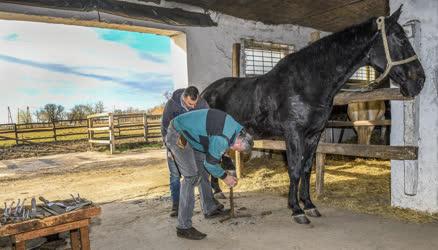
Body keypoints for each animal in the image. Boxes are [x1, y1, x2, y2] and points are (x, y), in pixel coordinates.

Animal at [202, 6, 424, 225]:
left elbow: (307, 168)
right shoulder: (293, 133)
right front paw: (296, 210)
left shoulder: (313, 135)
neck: (306, 84)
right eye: (401, 38)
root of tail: (205, 92)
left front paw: (308, 205)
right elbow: (294, 169)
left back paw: (219, 194)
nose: (420, 80)